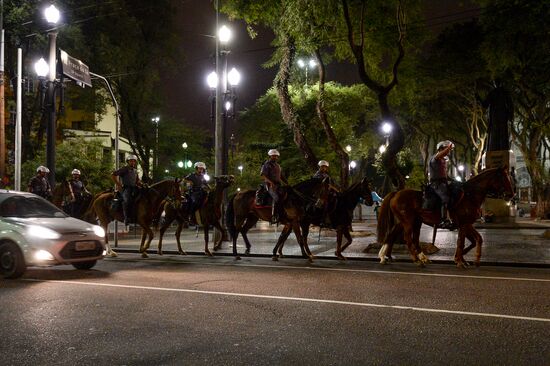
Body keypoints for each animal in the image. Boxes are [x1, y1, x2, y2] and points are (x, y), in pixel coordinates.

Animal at [378, 167, 516, 268]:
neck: (470, 196)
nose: (511, 194)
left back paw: (387, 257)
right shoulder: (463, 224)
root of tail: (396, 193)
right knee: (407, 238)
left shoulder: (467, 224)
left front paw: (468, 259)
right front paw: (460, 261)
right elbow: (461, 242)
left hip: (409, 222)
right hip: (408, 222)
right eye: (503, 178)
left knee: (394, 236)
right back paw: (416, 260)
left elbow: (477, 239)